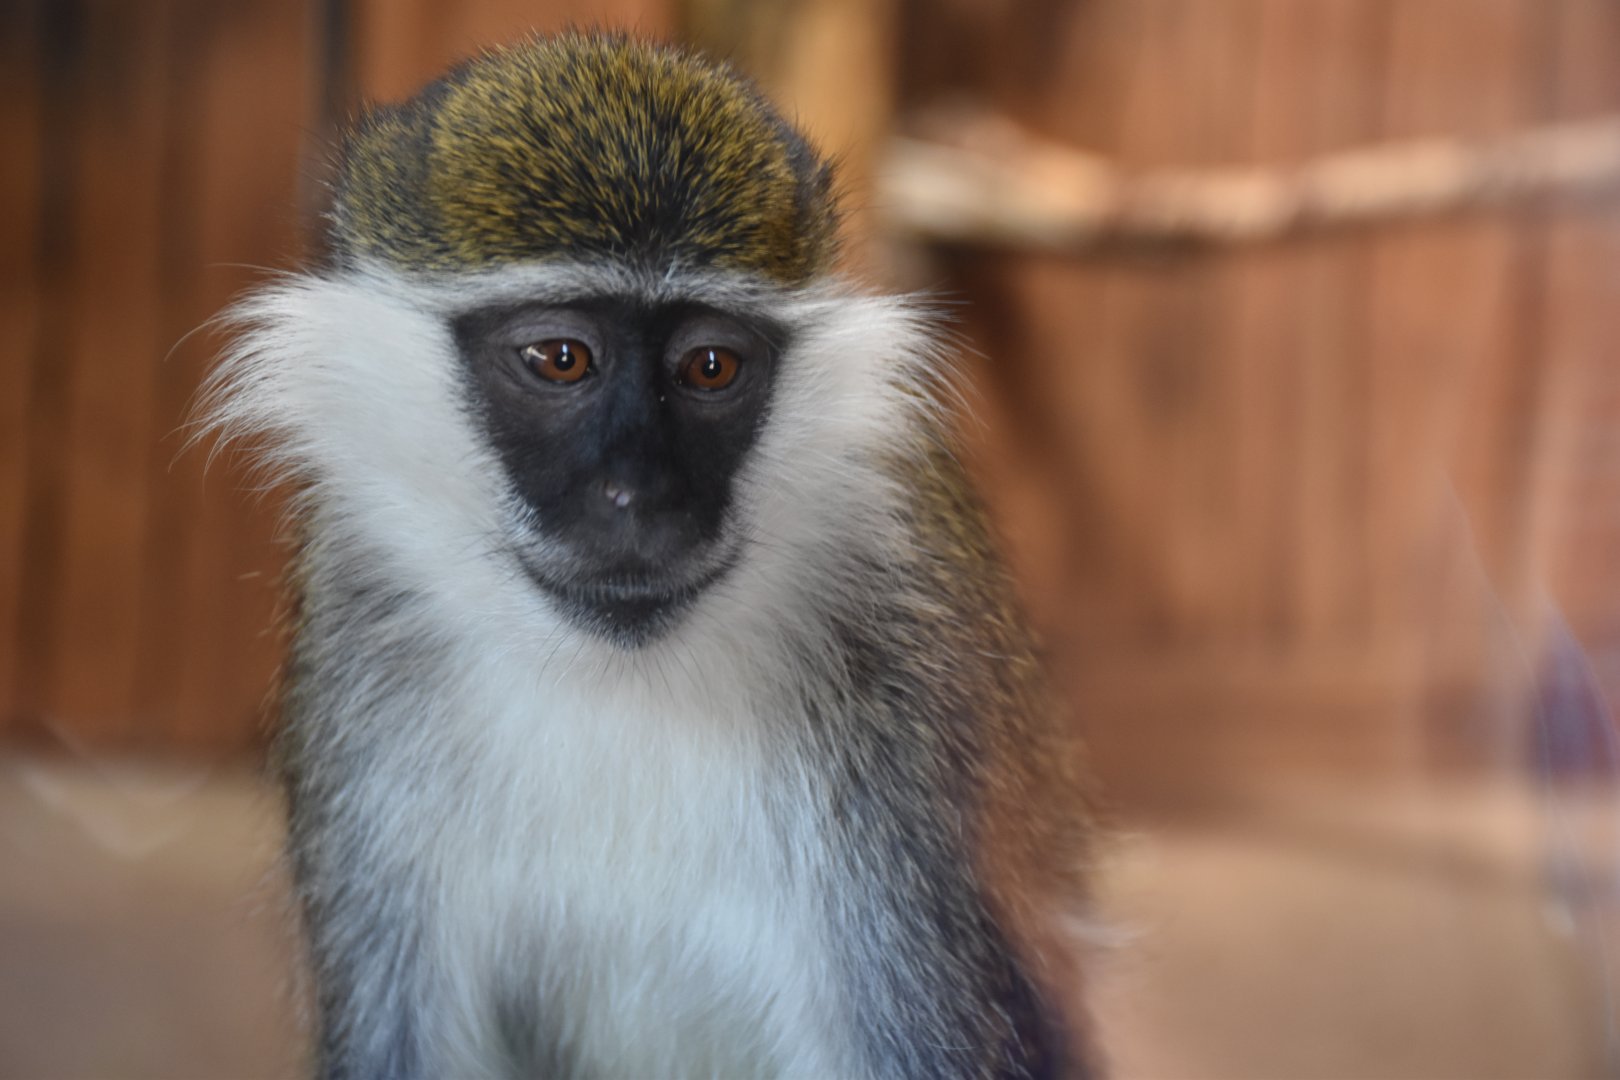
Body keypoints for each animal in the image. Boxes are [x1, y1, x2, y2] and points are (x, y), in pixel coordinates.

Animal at [203, 31, 1098, 1080]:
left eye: (710, 367)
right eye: (562, 359)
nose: (640, 497)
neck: (613, 679)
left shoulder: (902, 722)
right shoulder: (357, 658)